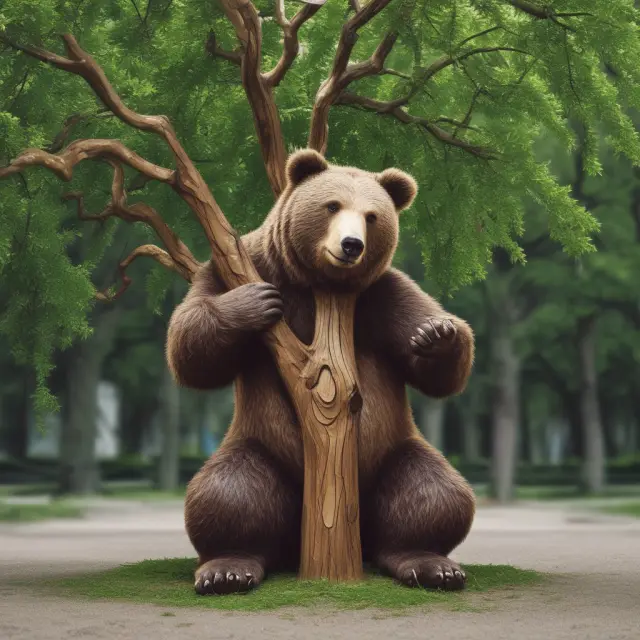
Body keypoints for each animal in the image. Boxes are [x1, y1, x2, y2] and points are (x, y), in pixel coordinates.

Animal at [166, 149, 476, 595]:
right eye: (332, 205)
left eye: (371, 216)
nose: (351, 245)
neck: (321, 287)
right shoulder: (231, 268)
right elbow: (190, 344)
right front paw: (255, 301)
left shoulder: (381, 297)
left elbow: (431, 362)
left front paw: (437, 334)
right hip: (259, 446)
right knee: (228, 491)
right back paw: (228, 568)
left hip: (394, 451)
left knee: (434, 491)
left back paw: (431, 564)